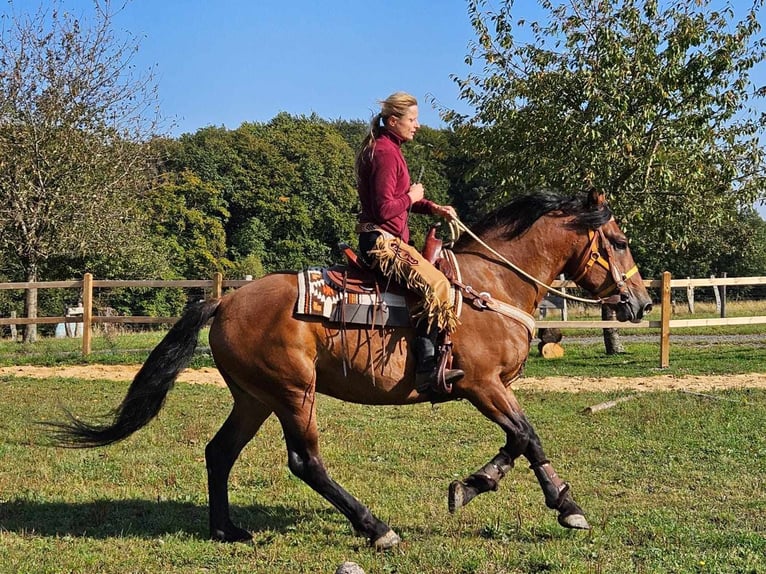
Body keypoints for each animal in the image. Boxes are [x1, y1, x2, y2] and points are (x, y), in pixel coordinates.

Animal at [51, 189, 656, 548]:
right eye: (621, 240)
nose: (642, 303)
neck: (492, 287)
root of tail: (224, 301)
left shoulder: (494, 389)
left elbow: (514, 442)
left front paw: (469, 486)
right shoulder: (483, 386)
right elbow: (529, 436)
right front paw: (567, 506)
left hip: (255, 398)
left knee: (219, 452)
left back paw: (227, 529)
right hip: (294, 393)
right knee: (305, 461)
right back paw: (375, 527)